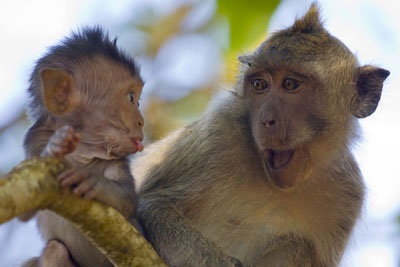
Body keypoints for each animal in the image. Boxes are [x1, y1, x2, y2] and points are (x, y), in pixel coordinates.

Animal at [21, 27, 144, 267]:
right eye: (130, 97)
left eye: (138, 100)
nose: (141, 122)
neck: (83, 151)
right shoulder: (34, 142)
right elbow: (25, 209)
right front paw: (55, 148)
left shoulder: (117, 160)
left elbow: (127, 200)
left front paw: (93, 183)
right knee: (54, 250)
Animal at [133, 4, 390, 267]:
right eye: (259, 85)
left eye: (290, 84)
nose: (266, 120)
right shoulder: (218, 135)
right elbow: (154, 207)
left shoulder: (348, 195)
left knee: (299, 245)